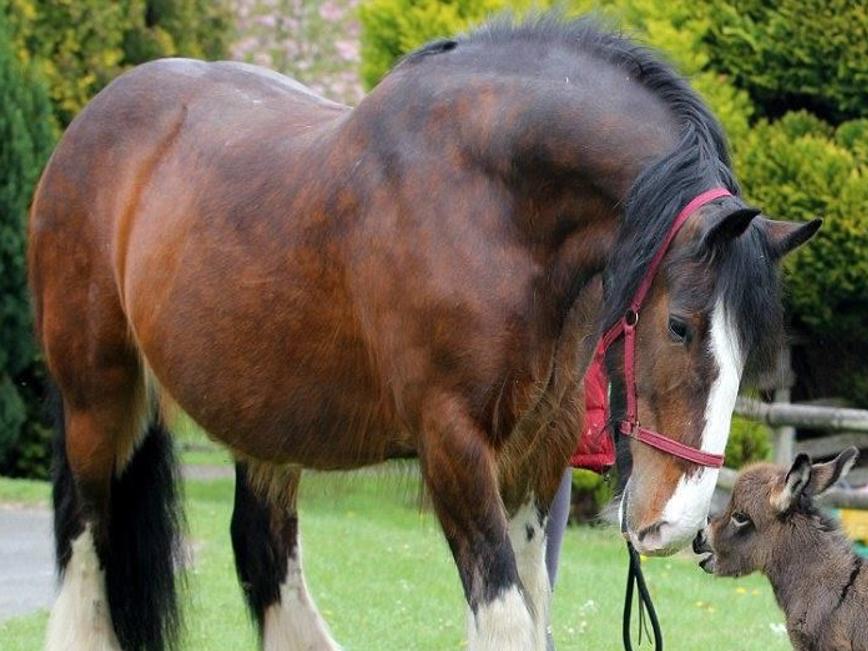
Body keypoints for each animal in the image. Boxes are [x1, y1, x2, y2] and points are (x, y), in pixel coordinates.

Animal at [28, 16, 820, 651]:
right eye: (680, 325)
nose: (675, 523)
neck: (489, 203)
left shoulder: (537, 453)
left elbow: (533, 609)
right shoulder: (453, 447)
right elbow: (505, 620)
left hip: (262, 425)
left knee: (262, 551)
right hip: (97, 399)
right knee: (85, 543)